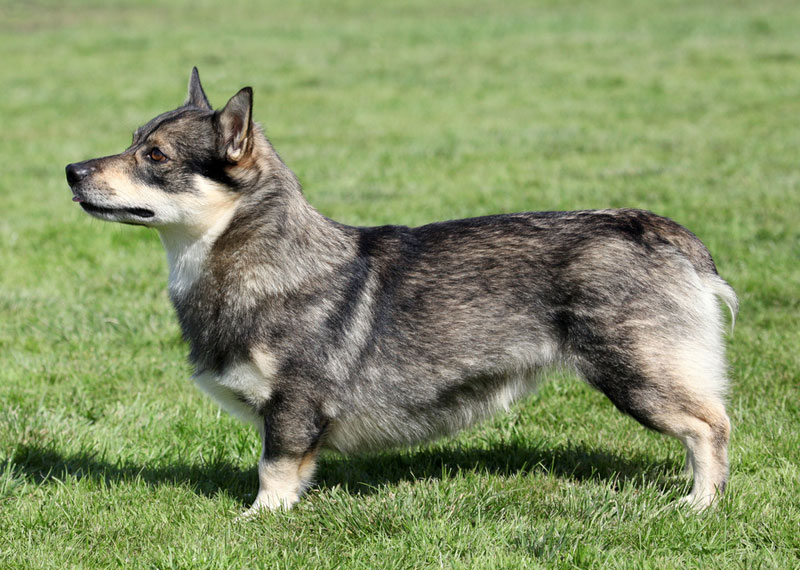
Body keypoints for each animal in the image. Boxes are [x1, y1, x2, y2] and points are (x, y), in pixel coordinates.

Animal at [67, 69, 736, 512]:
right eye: (133, 139)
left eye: (155, 156)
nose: (70, 171)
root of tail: (656, 229)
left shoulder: (292, 407)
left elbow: (274, 472)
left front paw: (259, 521)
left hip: (635, 373)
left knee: (711, 427)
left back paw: (699, 504)